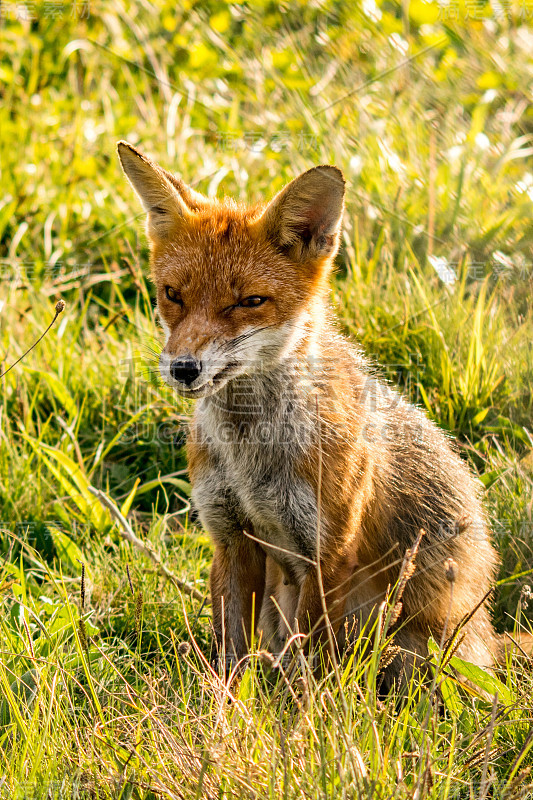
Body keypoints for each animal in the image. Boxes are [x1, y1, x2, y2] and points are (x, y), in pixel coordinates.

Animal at [116, 141, 498, 684]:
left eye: (250, 301)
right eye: (173, 294)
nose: (184, 368)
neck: (250, 453)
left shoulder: (327, 553)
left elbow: (310, 669)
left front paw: (304, 708)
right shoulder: (232, 539)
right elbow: (231, 657)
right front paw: (226, 704)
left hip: (416, 650)